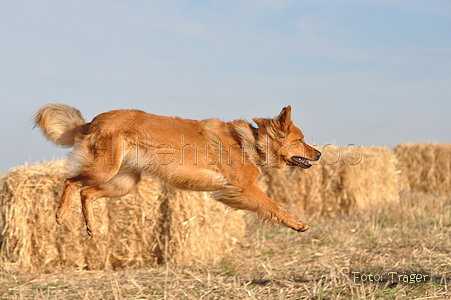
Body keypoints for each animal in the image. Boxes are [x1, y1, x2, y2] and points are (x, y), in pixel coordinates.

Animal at [34, 103, 322, 237]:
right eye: (300, 140)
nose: (319, 153)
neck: (249, 142)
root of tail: (92, 121)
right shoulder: (244, 188)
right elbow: (274, 206)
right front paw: (297, 224)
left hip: (123, 182)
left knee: (87, 194)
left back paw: (92, 227)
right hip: (104, 171)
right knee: (71, 182)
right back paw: (61, 214)